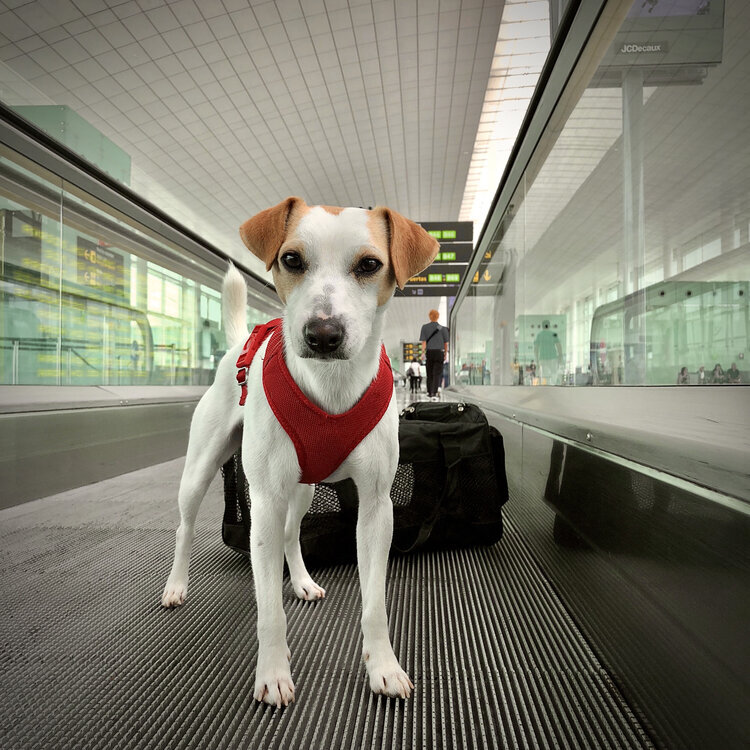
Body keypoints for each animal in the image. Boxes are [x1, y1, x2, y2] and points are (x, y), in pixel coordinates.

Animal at [160, 195, 440, 712]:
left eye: (370, 265)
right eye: (291, 259)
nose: (323, 334)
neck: (331, 387)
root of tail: (237, 347)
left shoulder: (376, 509)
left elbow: (375, 604)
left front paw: (384, 666)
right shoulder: (265, 505)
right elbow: (269, 608)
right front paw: (272, 674)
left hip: (306, 488)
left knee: (293, 534)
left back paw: (303, 581)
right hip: (202, 470)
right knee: (186, 526)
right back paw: (176, 585)